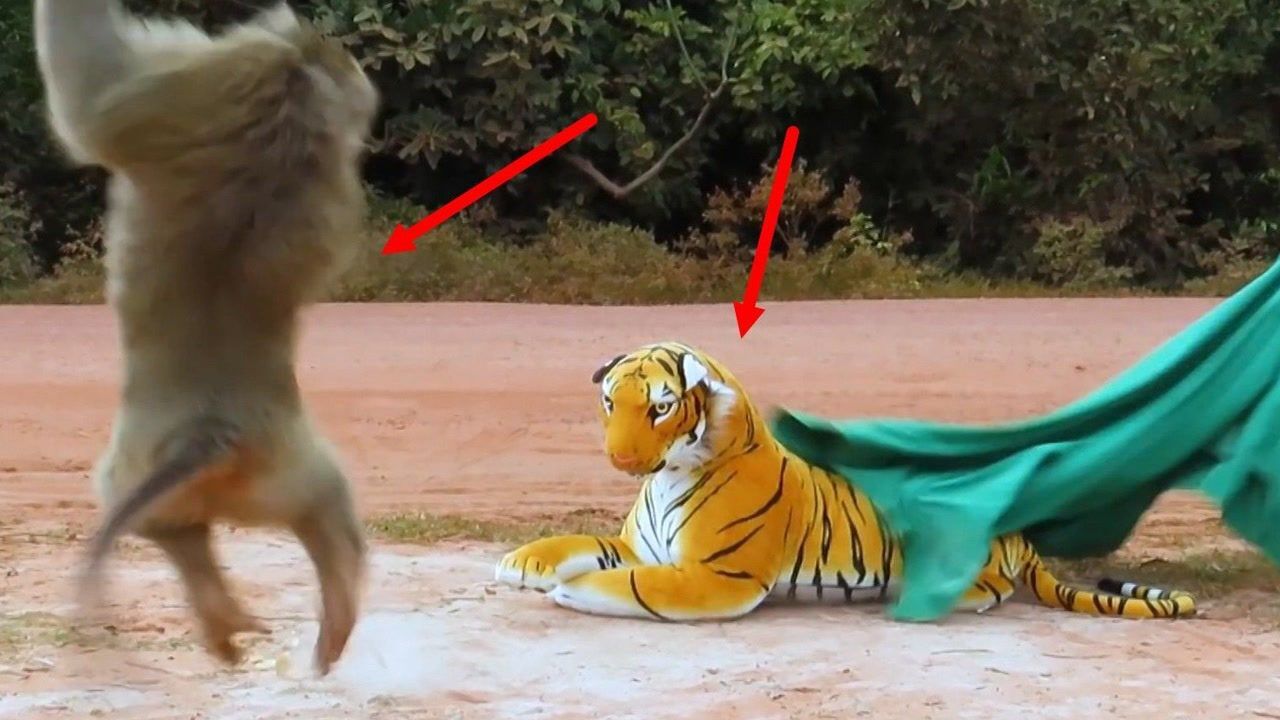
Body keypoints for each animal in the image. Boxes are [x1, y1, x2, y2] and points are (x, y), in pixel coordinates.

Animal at [494, 341, 1196, 621]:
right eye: (611, 402)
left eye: (662, 407)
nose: (619, 459)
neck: (670, 476)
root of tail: (1019, 530)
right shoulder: (641, 545)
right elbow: (579, 543)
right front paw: (523, 563)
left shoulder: (716, 576)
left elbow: (630, 584)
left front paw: (571, 588)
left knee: (985, 587)